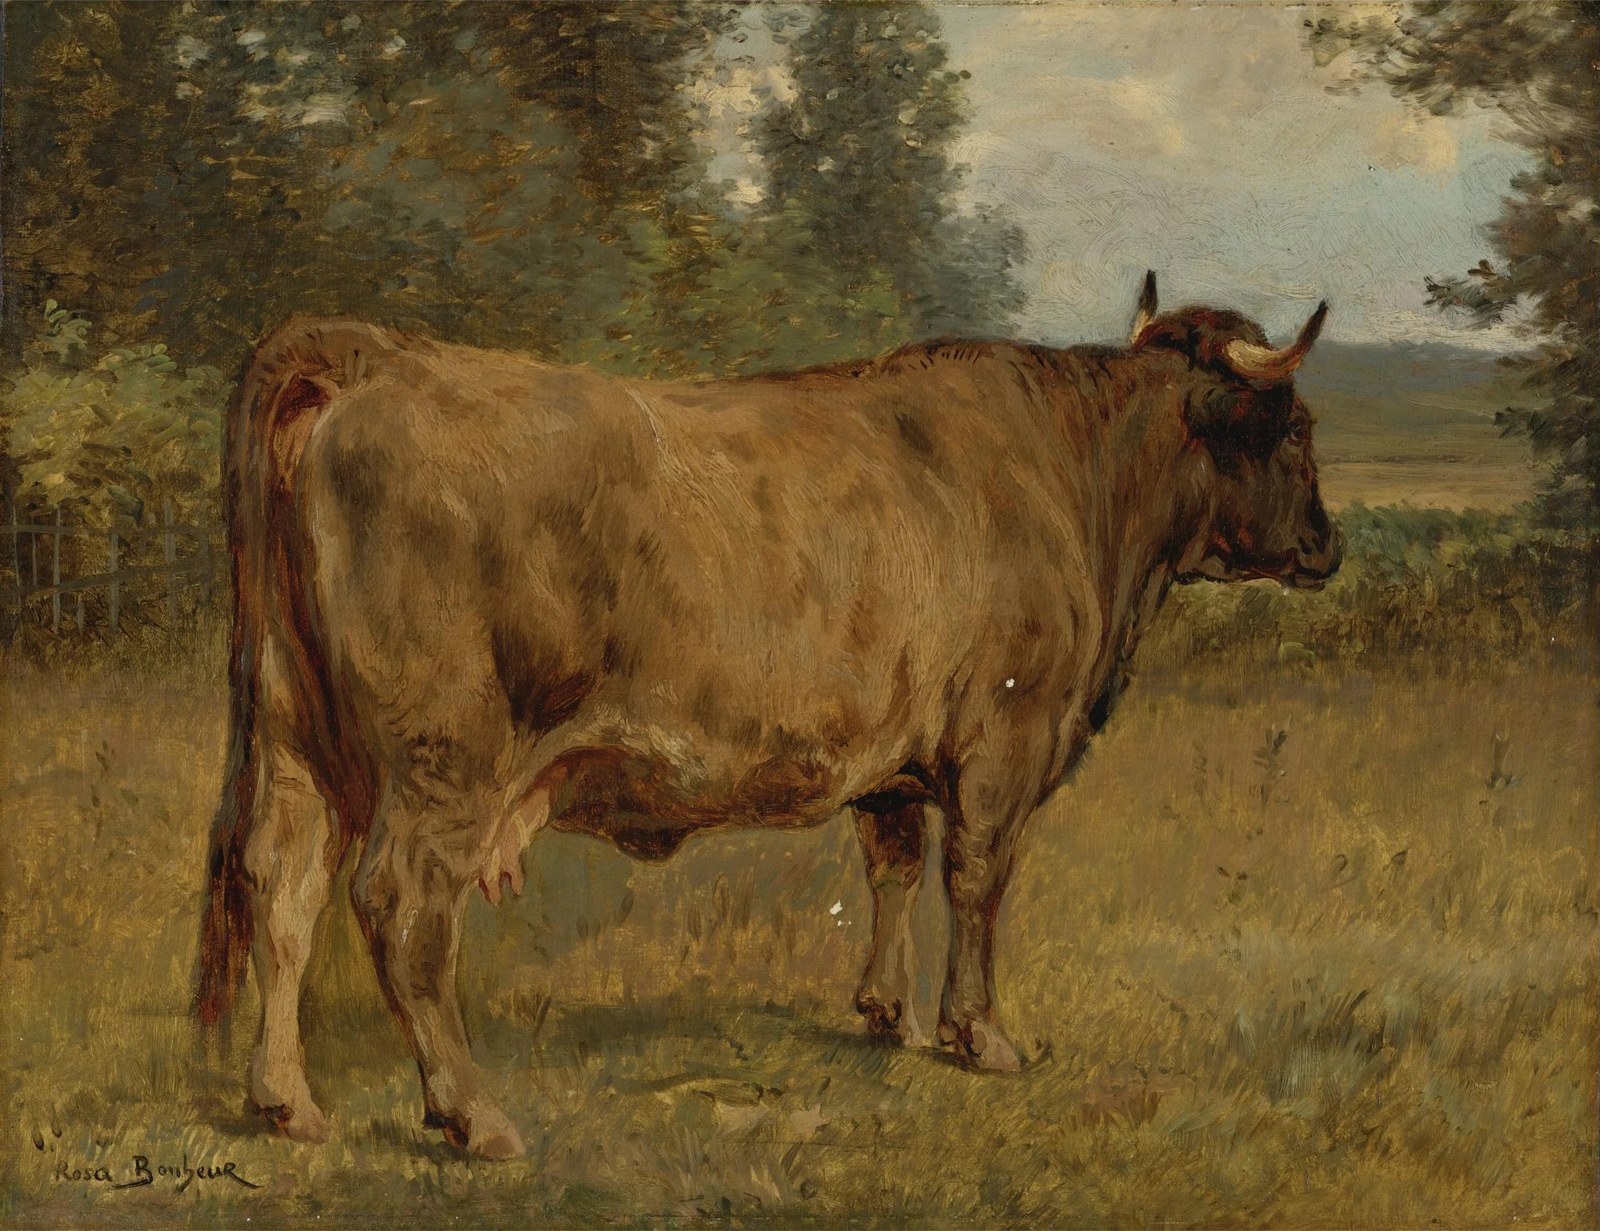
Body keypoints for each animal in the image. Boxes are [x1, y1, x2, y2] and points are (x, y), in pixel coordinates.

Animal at [196, 273, 1340, 1159]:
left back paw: (286, 1102)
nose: (1329, 546)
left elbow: (893, 867)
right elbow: (976, 883)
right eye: (1294, 431)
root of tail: (383, 356)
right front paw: (980, 1035)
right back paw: (475, 1118)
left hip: (298, 738)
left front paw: (886, 1014)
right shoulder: (1004, 744)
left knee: (281, 883)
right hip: (446, 759)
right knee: (400, 908)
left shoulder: (894, 759)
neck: (1070, 473)